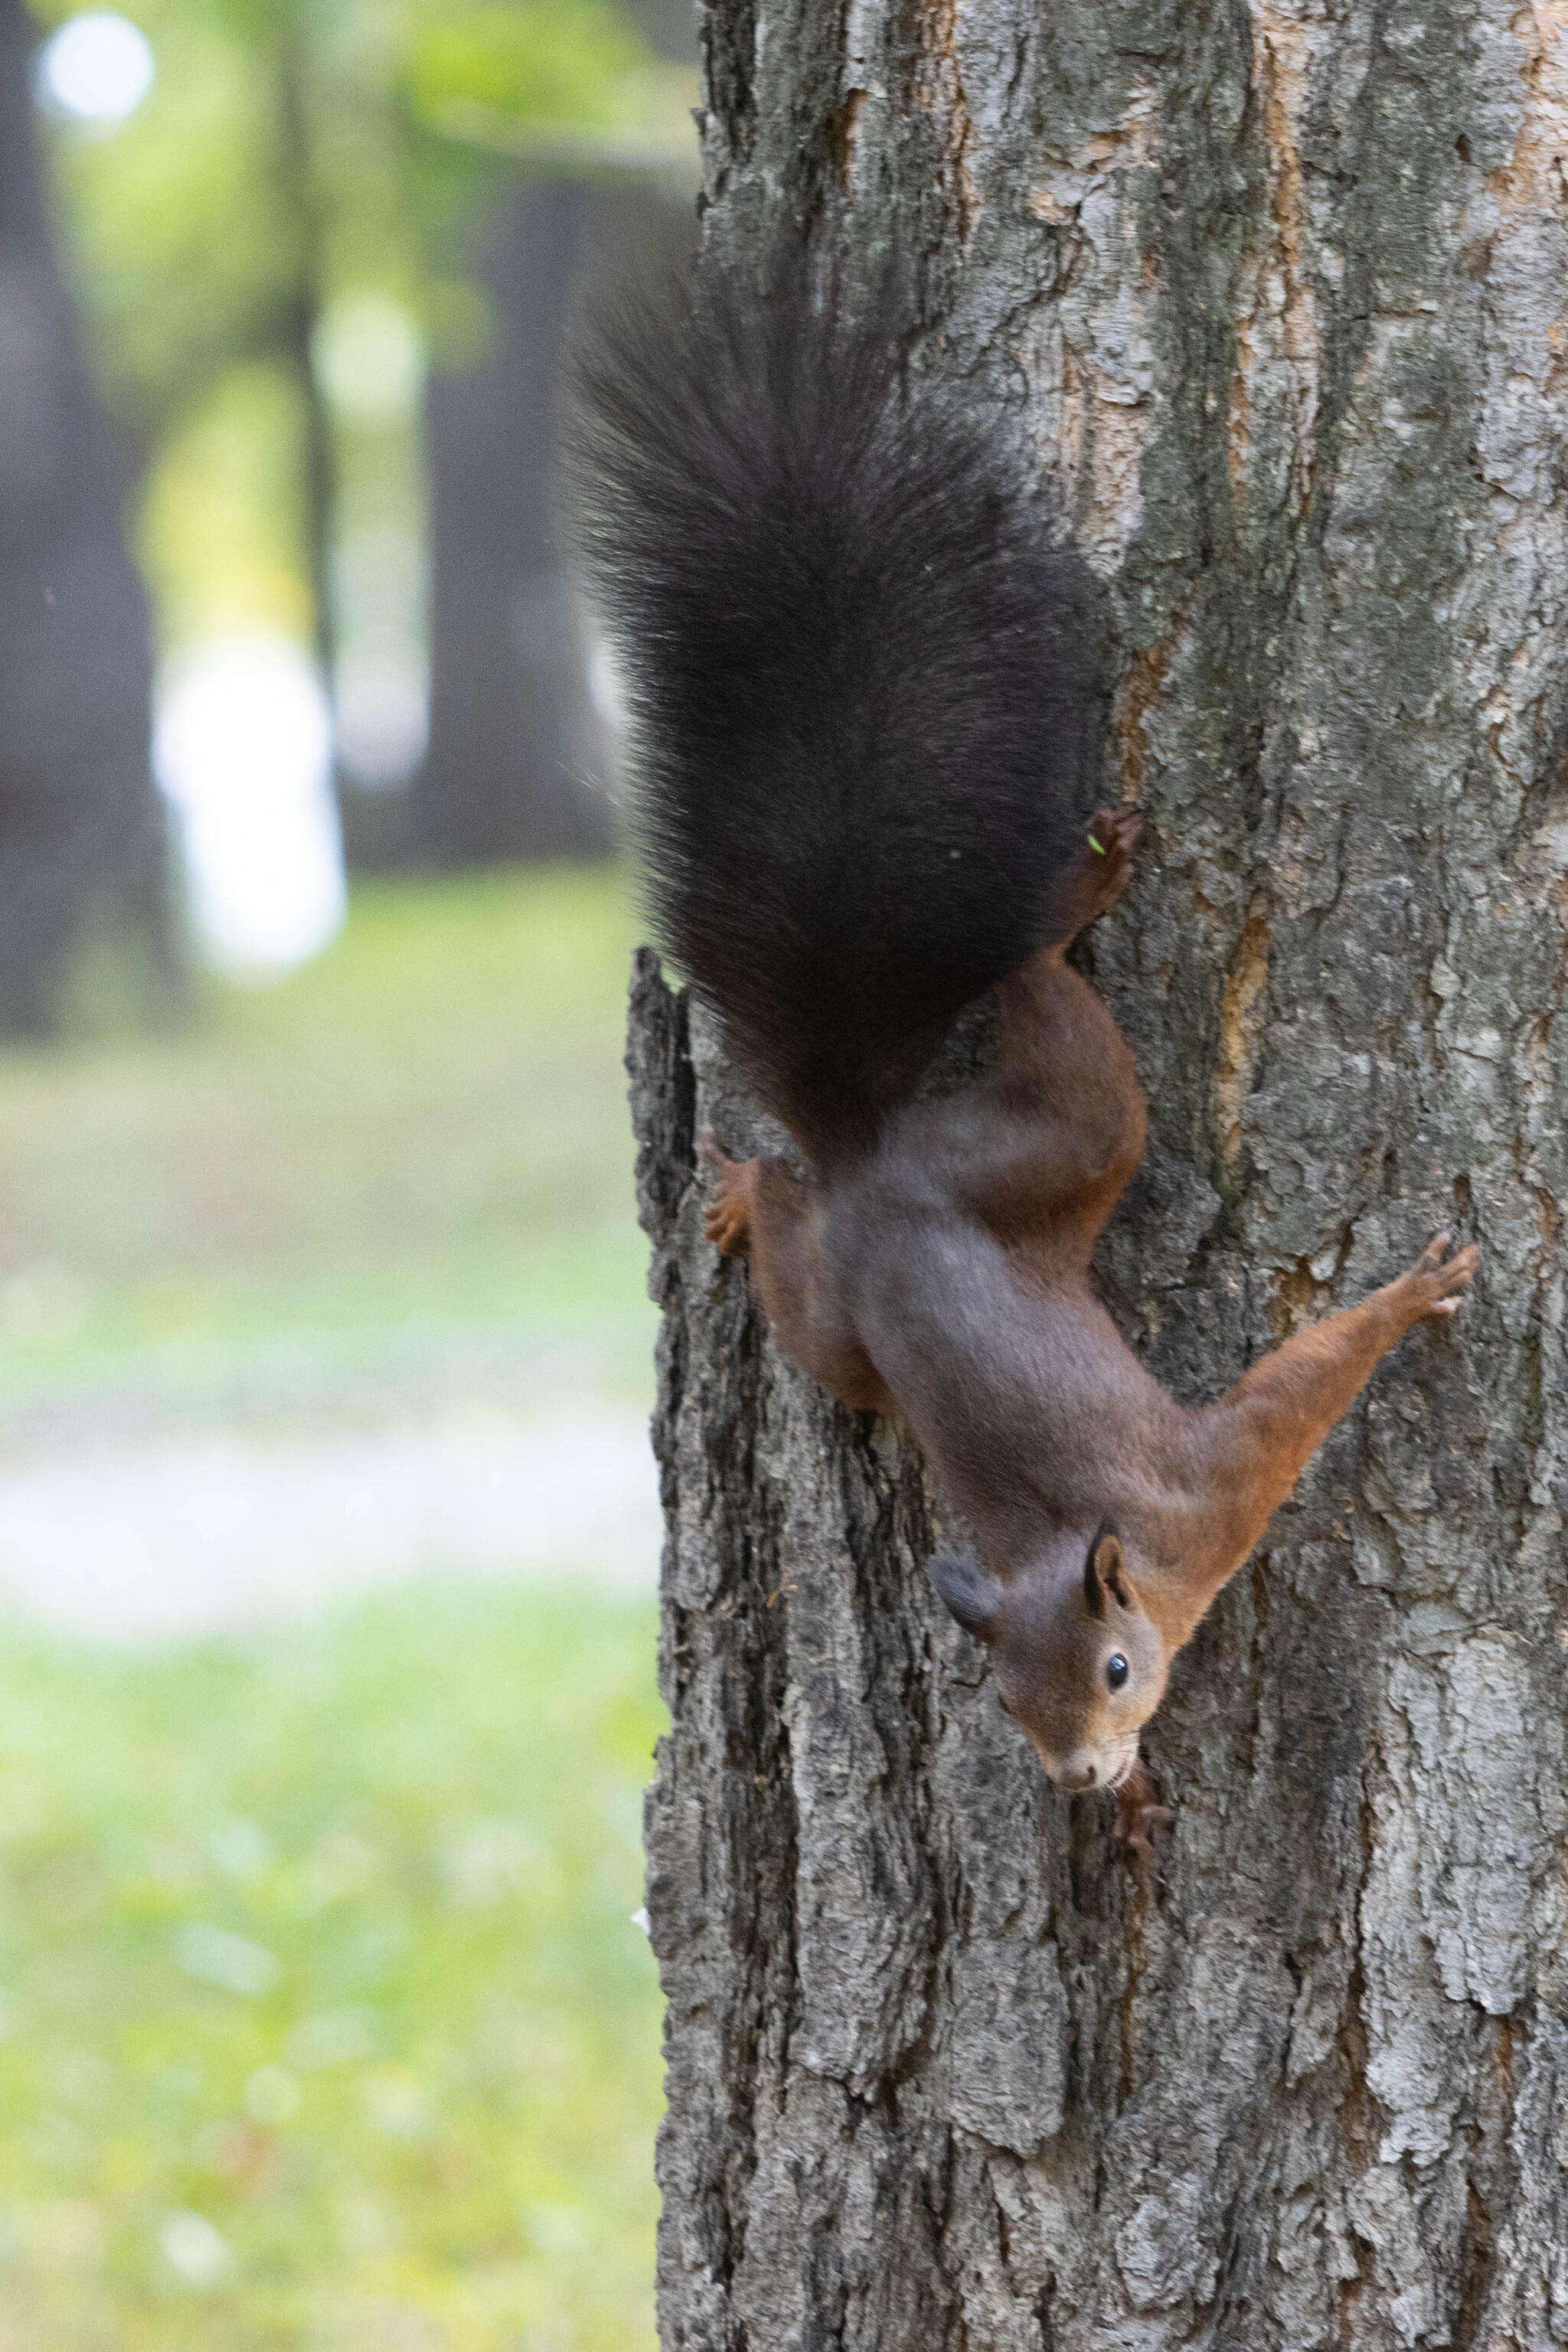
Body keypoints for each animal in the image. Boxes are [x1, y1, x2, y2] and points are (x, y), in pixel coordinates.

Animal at [571, 257, 1476, 1863]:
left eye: (1114, 1669)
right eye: (1002, 1702)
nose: (1078, 1779)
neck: (1087, 1553)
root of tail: (875, 1160)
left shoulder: (1203, 1500)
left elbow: (1300, 1387)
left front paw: (1400, 1296)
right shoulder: (1195, 1502)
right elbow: (1293, 1392)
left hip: (1008, 1183)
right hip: (987, 1214)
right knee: (959, 1059)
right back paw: (771, 1163)